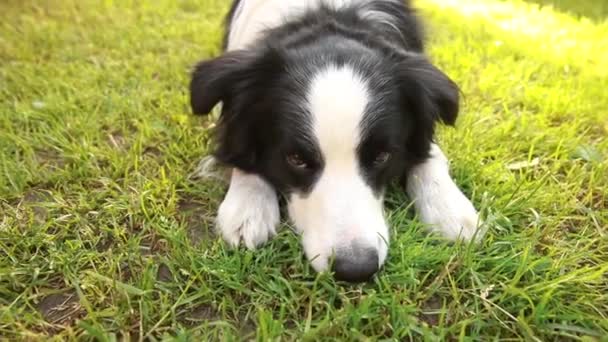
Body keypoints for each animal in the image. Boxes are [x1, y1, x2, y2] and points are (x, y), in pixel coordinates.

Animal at [190, 0, 484, 282]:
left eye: (382, 156)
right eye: (296, 159)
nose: (356, 270)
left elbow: (429, 155)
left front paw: (450, 210)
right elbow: (238, 148)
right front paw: (248, 207)